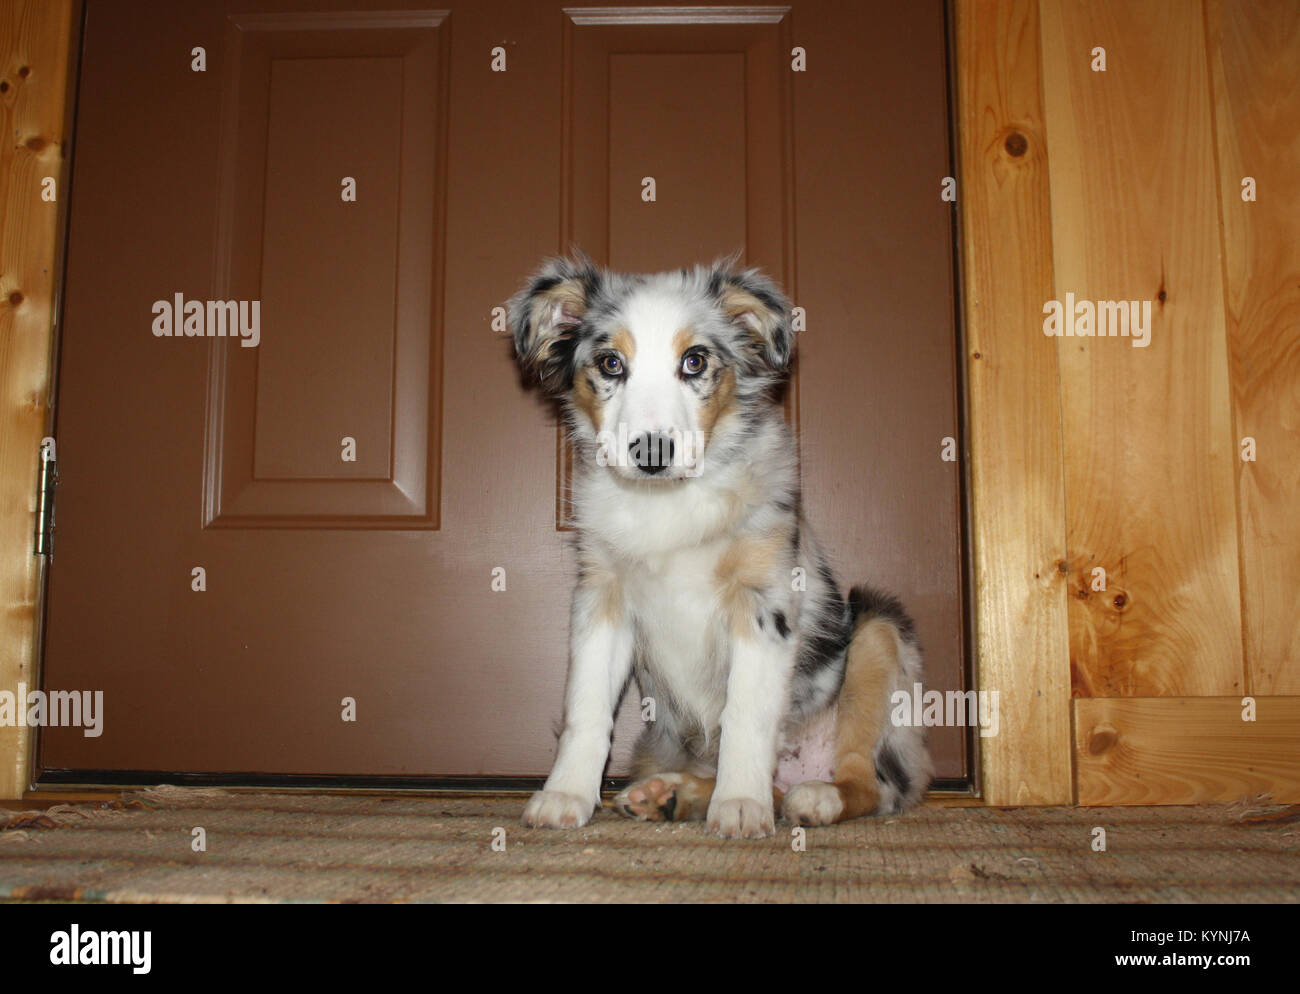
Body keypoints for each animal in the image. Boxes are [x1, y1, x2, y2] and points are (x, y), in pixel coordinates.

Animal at [509, 253, 935, 836]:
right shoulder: (601, 597)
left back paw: (815, 797)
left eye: (694, 361)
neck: (668, 501)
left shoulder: (763, 601)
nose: (652, 452)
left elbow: (746, 714)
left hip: (877, 631)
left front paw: (739, 806)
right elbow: (587, 706)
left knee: (868, 781)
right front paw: (566, 794)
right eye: (610, 363)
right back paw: (671, 795)